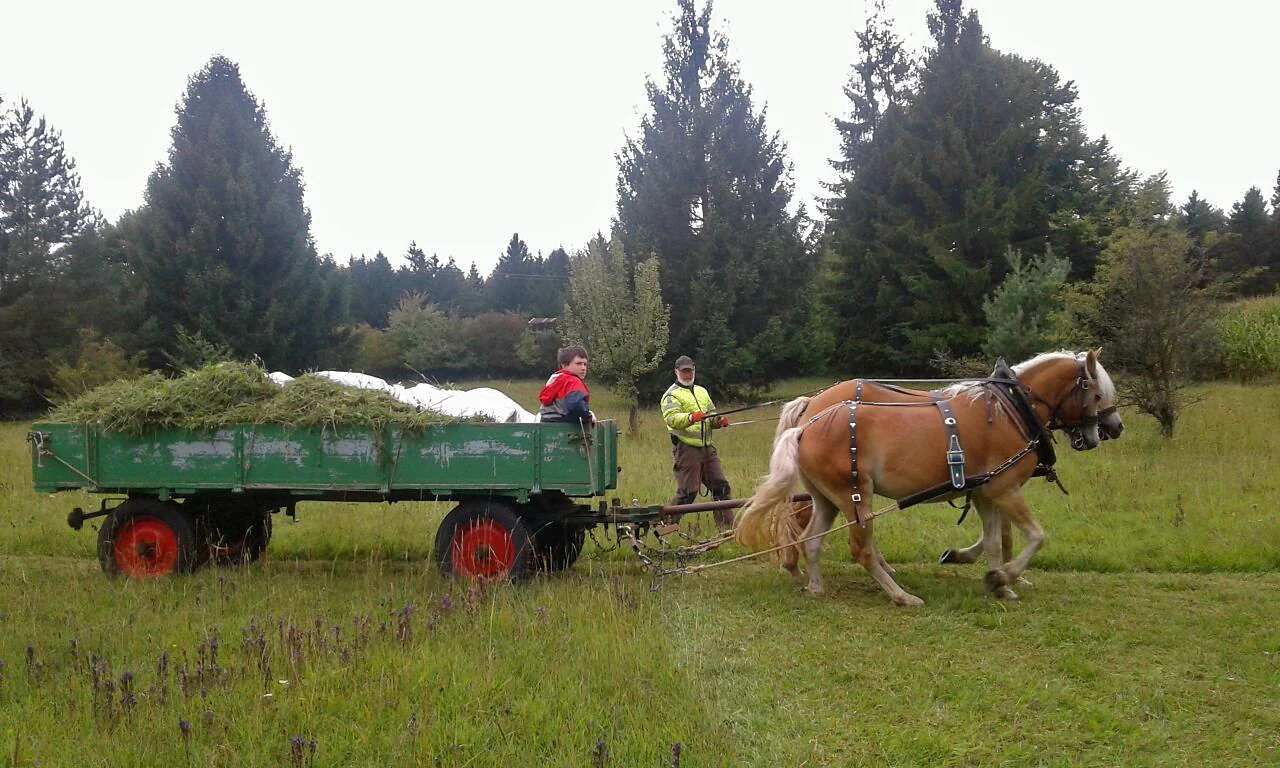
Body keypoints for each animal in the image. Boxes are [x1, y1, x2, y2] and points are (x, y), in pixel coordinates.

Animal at [742, 350, 1121, 606]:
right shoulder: (1004, 488)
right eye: (1097, 393)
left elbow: (995, 540)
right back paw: (900, 595)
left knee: (811, 539)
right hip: (855, 495)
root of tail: (806, 425)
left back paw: (815, 584)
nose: (1114, 428)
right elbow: (1035, 536)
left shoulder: (984, 492)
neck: (1009, 409)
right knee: (858, 546)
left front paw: (998, 581)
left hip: (828, 498)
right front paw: (1006, 575)